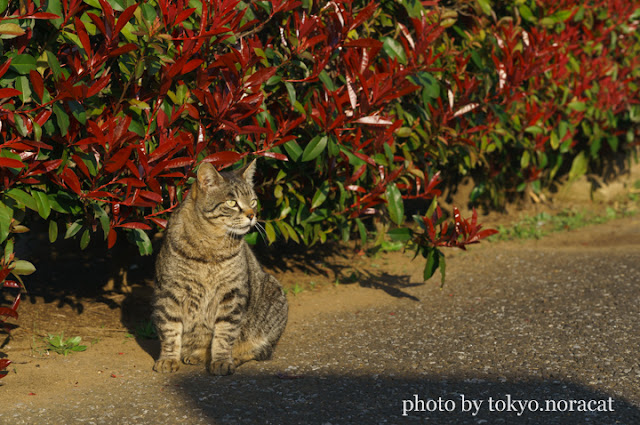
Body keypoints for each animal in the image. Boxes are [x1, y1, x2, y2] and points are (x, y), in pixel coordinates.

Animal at [152, 160, 288, 374]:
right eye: (232, 203)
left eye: (253, 201)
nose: (252, 215)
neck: (211, 244)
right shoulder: (169, 291)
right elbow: (170, 330)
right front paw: (168, 358)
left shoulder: (232, 294)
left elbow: (225, 333)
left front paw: (222, 360)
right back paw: (196, 355)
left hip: (273, 299)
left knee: (260, 351)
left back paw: (230, 357)